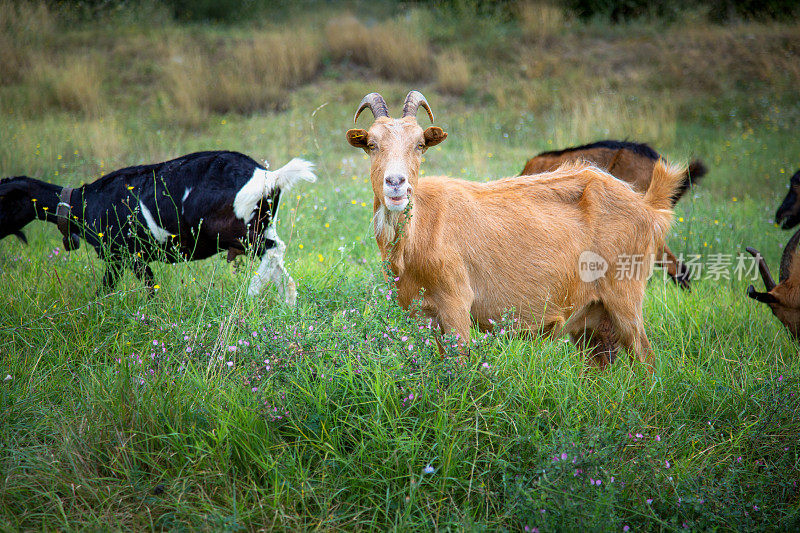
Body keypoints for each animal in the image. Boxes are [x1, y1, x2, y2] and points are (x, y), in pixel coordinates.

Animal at [0, 150, 318, 304]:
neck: (83, 202)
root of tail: (268, 176)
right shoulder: (126, 256)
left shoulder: (125, 253)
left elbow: (128, 286)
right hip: (261, 224)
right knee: (278, 257)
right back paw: (287, 302)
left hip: (232, 229)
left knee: (272, 251)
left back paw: (252, 292)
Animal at [346, 90, 684, 370]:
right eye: (372, 145)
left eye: (419, 145)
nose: (396, 183)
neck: (422, 231)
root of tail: (648, 207)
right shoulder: (418, 312)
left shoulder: (456, 302)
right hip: (591, 318)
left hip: (625, 294)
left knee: (645, 356)